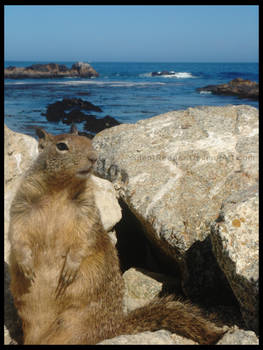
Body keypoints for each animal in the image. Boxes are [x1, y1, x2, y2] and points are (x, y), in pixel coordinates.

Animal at [8, 126, 227, 344]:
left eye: (88, 141)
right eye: (62, 146)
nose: (94, 158)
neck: (60, 190)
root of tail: (115, 327)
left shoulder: (87, 216)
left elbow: (83, 241)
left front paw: (70, 267)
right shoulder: (21, 206)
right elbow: (17, 234)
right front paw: (26, 265)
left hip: (75, 324)